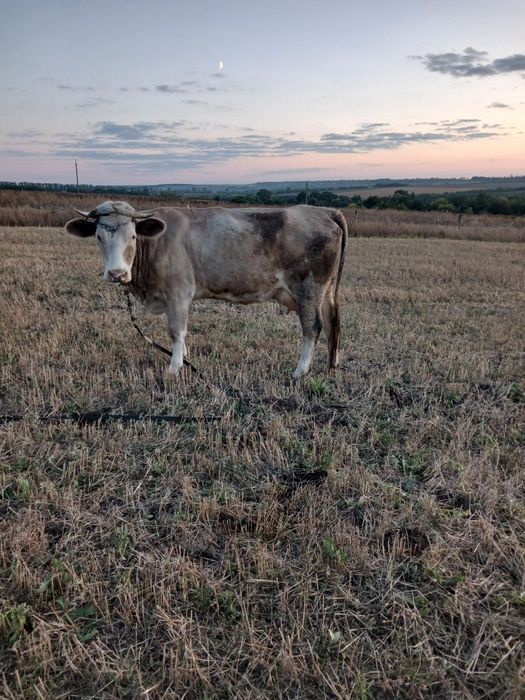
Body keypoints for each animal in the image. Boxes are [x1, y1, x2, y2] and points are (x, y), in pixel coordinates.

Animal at [65, 201, 347, 379]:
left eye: (132, 236)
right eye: (99, 237)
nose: (117, 273)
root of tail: (323, 211)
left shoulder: (179, 293)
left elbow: (176, 331)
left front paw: (174, 367)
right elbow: (182, 333)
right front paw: (183, 356)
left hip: (308, 287)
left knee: (313, 327)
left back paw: (300, 371)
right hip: (325, 291)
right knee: (333, 321)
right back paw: (331, 365)